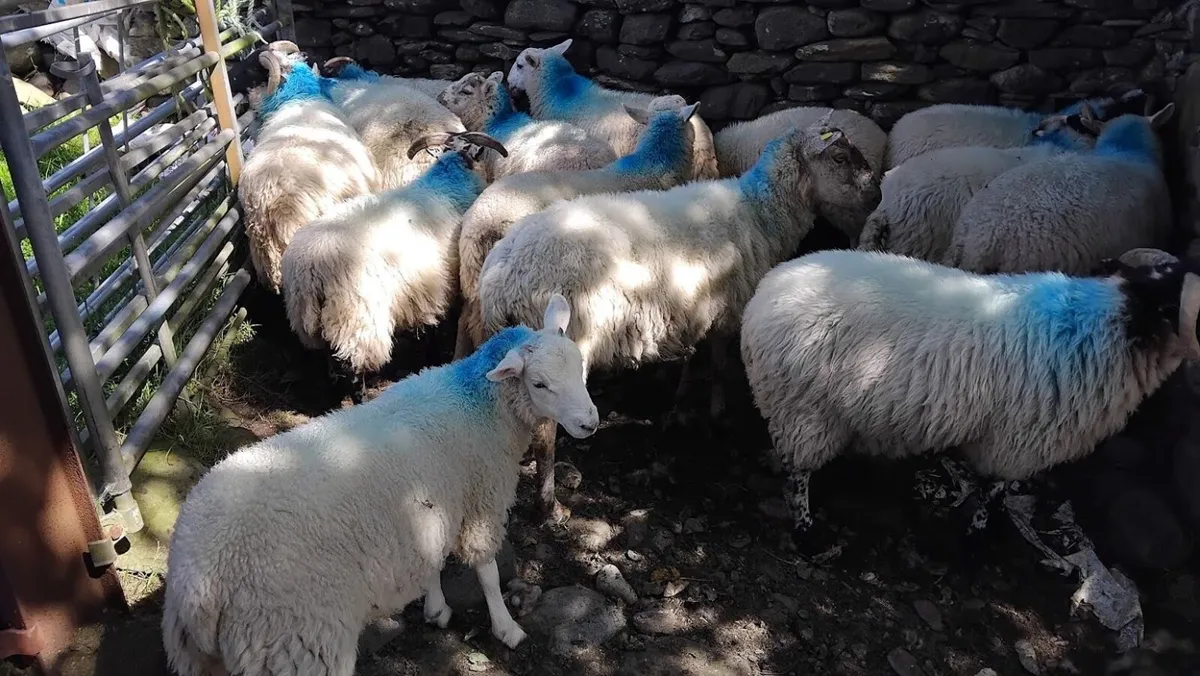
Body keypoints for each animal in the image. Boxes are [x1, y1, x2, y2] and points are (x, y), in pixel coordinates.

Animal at [162, 294, 600, 676]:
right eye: (539, 384)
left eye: (579, 366)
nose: (590, 423)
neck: (476, 401)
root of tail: (198, 586)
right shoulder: (480, 500)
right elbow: (488, 573)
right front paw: (506, 627)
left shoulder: (430, 504)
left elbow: (431, 560)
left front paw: (436, 609)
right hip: (296, 637)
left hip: (207, 658)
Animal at [282, 131, 508, 402]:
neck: (447, 184)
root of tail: (311, 268)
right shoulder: (437, 288)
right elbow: (433, 331)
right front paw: (431, 359)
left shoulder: (424, 290)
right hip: (356, 316)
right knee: (352, 366)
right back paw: (362, 399)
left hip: (312, 319)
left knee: (328, 359)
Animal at [476, 116, 881, 521]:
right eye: (840, 157)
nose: (877, 195)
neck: (759, 213)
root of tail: (504, 274)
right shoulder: (728, 311)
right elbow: (718, 364)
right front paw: (717, 415)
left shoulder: (700, 310)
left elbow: (695, 359)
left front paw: (681, 407)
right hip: (563, 348)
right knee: (546, 428)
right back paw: (550, 505)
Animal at [740, 247, 1200, 546]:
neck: (1114, 329)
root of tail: (762, 295)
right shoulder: (1014, 442)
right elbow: (992, 489)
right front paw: (978, 535)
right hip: (805, 409)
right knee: (798, 476)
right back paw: (806, 531)